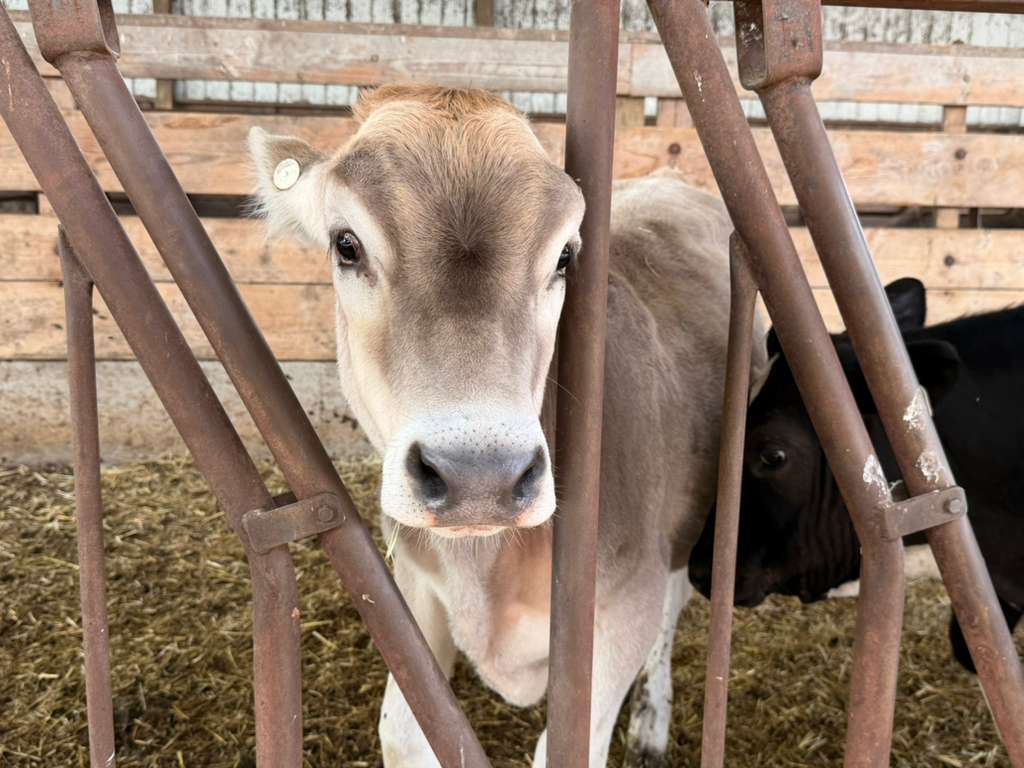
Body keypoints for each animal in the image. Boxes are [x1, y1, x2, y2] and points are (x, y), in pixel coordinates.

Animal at [248, 84, 769, 766]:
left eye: (565, 257)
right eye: (346, 244)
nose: (480, 475)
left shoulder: (624, 606)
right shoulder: (416, 585)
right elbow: (404, 729)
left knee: (676, 602)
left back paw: (652, 723)